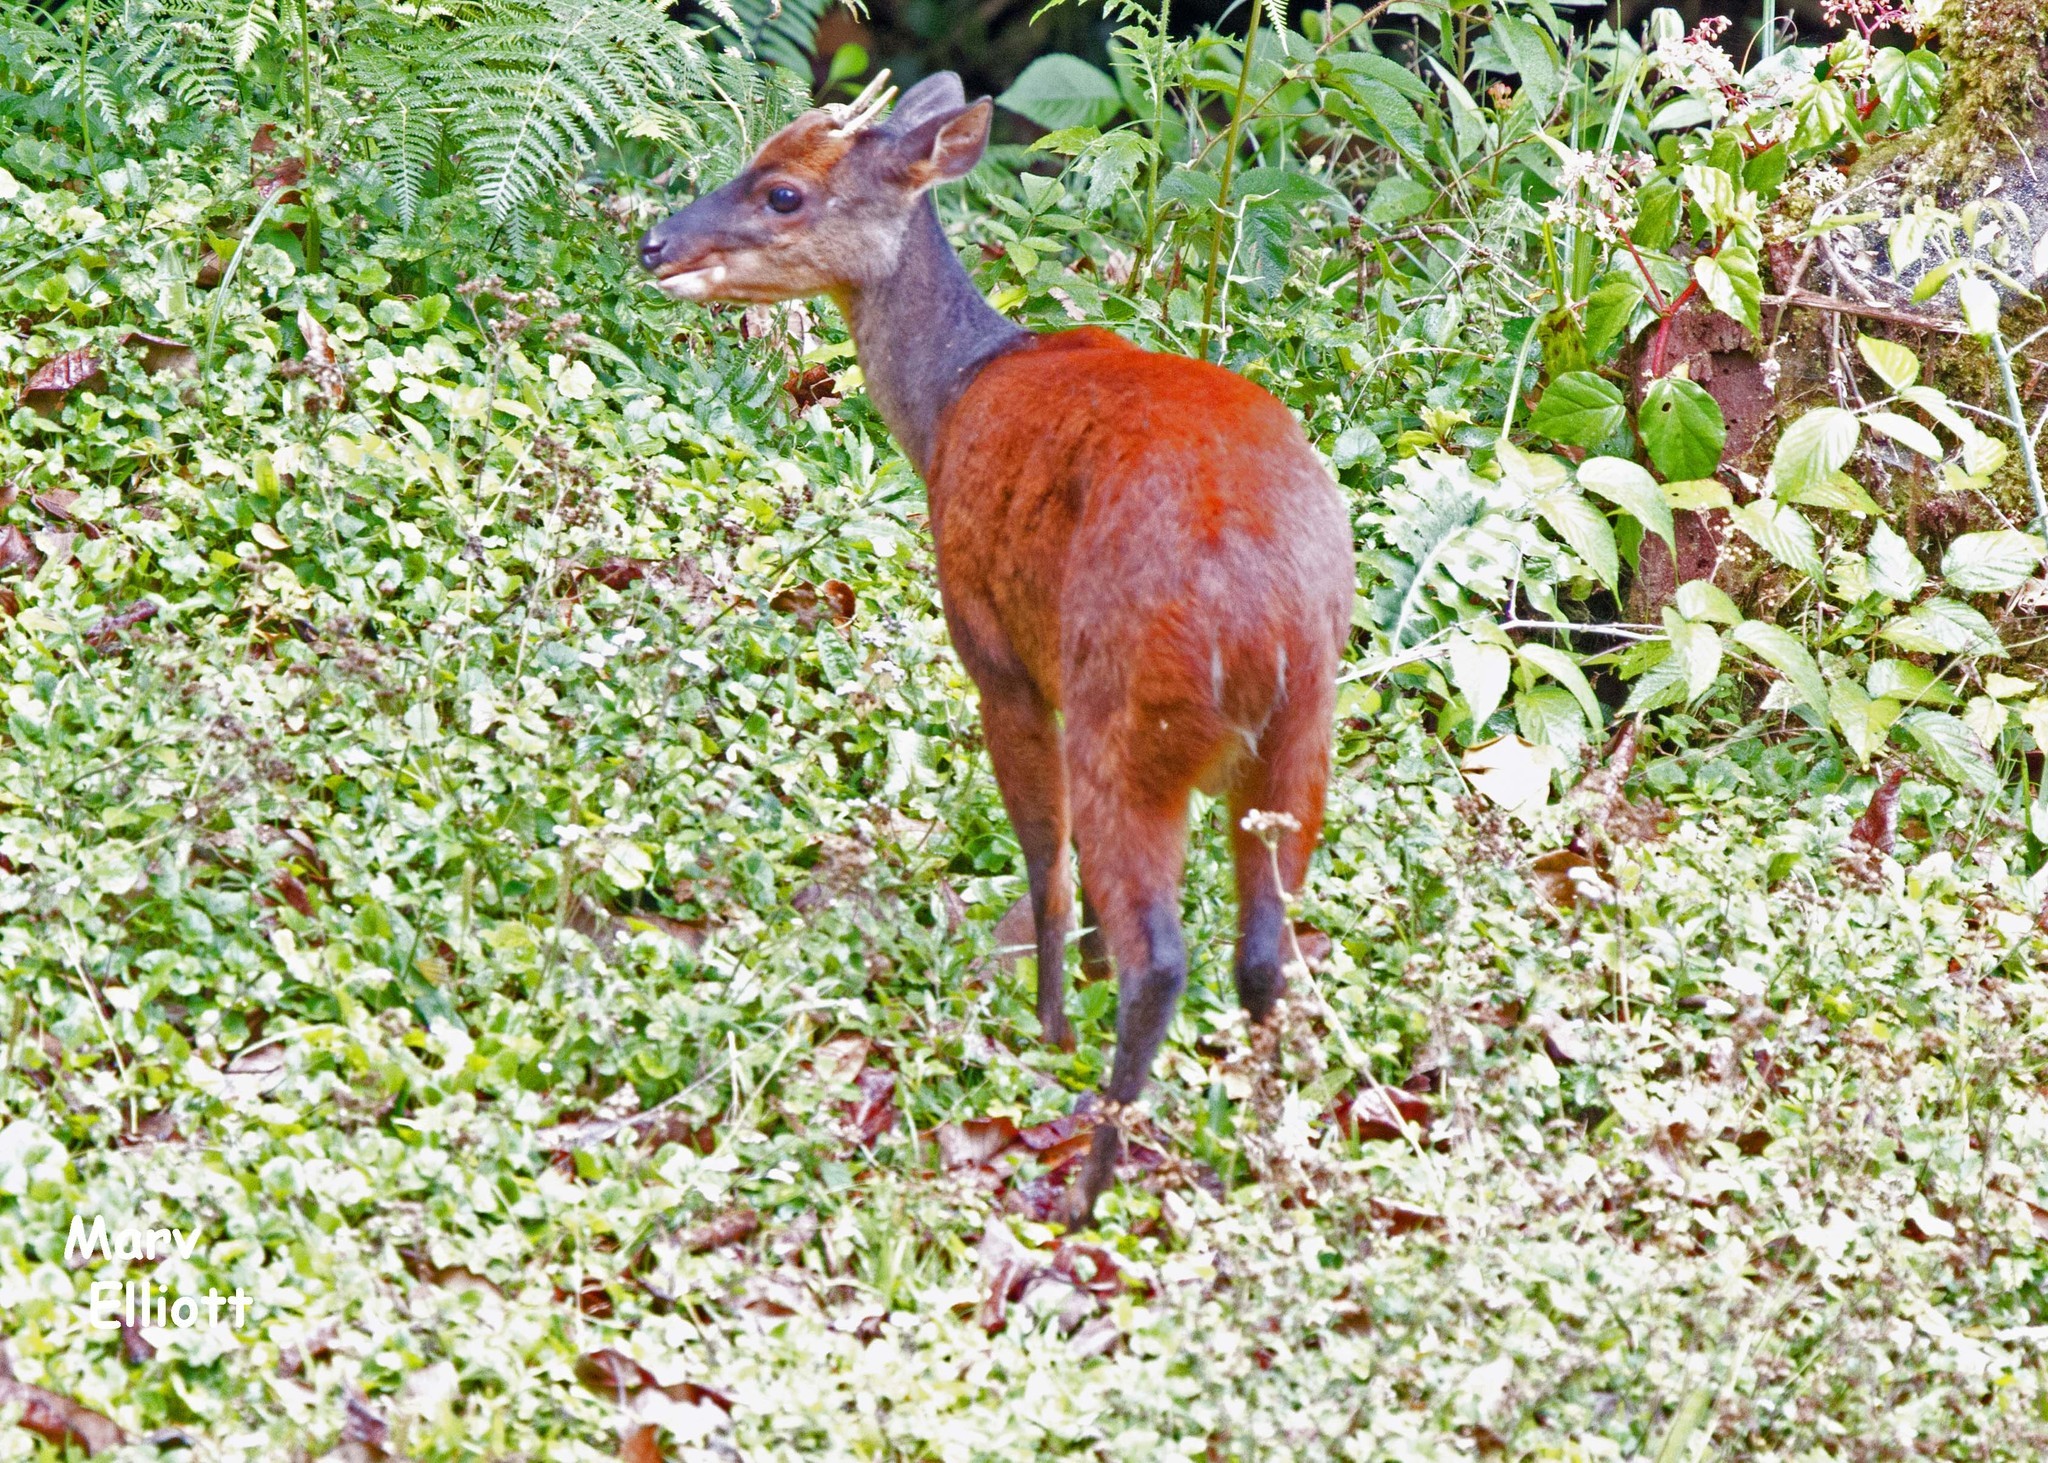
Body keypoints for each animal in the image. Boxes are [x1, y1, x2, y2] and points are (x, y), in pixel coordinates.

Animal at [638, 71, 1359, 1221]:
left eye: (784, 189)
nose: (654, 243)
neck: (954, 395)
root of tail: (1268, 625)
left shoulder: (996, 650)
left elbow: (1039, 851)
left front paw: (1051, 1025)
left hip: (1133, 709)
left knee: (1166, 949)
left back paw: (1086, 1186)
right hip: (1302, 733)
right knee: (1265, 951)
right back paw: (1261, 1155)